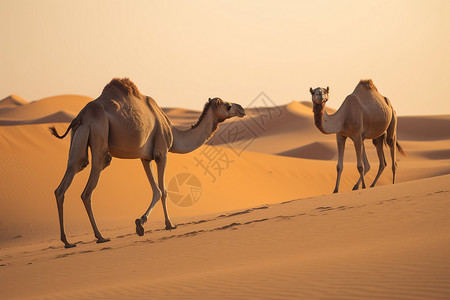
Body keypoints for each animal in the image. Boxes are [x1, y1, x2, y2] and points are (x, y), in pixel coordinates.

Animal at [49, 78, 246, 248]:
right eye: (228, 106)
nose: (242, 108)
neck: (173, 131)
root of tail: (80, 117)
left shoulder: (145, 157)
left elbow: (156, 190)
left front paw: (140, 224)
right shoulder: (161, 152)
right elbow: (164, 190)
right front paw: (168, 224)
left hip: (78, 141)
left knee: (64, 184)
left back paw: (67, 241)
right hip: (99, 136)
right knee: (88, 190)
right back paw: (100, 236)